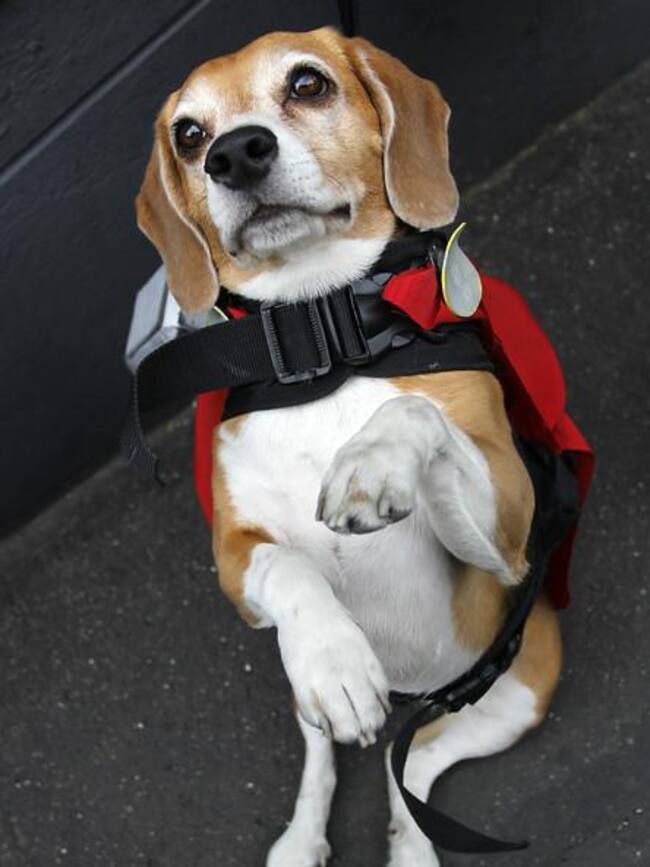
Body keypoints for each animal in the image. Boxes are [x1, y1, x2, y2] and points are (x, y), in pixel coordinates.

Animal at [135, 27, 562, 867]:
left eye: (308, 83)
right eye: (189, 134)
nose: (234, 154)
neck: (321, 333)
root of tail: (404, 691)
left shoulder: (507, 537)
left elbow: (414, 412)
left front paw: (372, 461)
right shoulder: (235, 559)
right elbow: (293, 567)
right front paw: (335, 655)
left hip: (520, 686)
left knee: (413, 765)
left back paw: (413, 844)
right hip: (304, 693)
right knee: (325, 756)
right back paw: (302, 832)